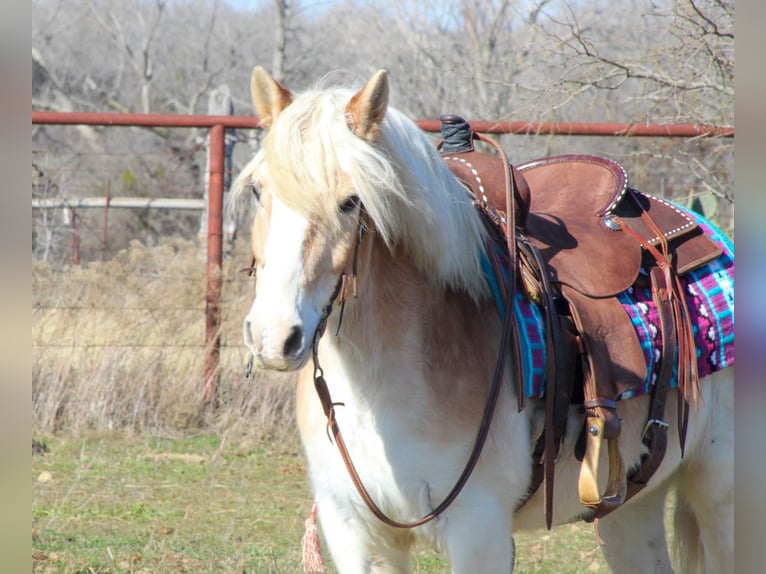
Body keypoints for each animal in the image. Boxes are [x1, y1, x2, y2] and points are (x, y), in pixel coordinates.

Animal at [236, 65, 736, 572]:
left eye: (351, 201)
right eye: (258, 190)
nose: (275, 337)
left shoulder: (478, 530)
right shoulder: (355, 534)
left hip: (720, 493)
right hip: (630, 508)